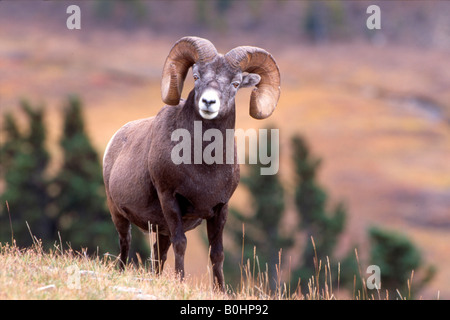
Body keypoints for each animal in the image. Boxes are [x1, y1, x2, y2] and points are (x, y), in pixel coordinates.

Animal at [102, 35, 280, 290]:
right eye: (196, 77)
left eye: (236, 84)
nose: (208, 102)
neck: (204, 166)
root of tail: (116, 139)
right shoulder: (170, 200)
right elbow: (182, 244)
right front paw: (180, 282)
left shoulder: (220, 209)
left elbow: (217, 253)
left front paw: (220, 291)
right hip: (118, 213)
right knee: (125, 244)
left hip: (160, 229)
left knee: (158, 254)